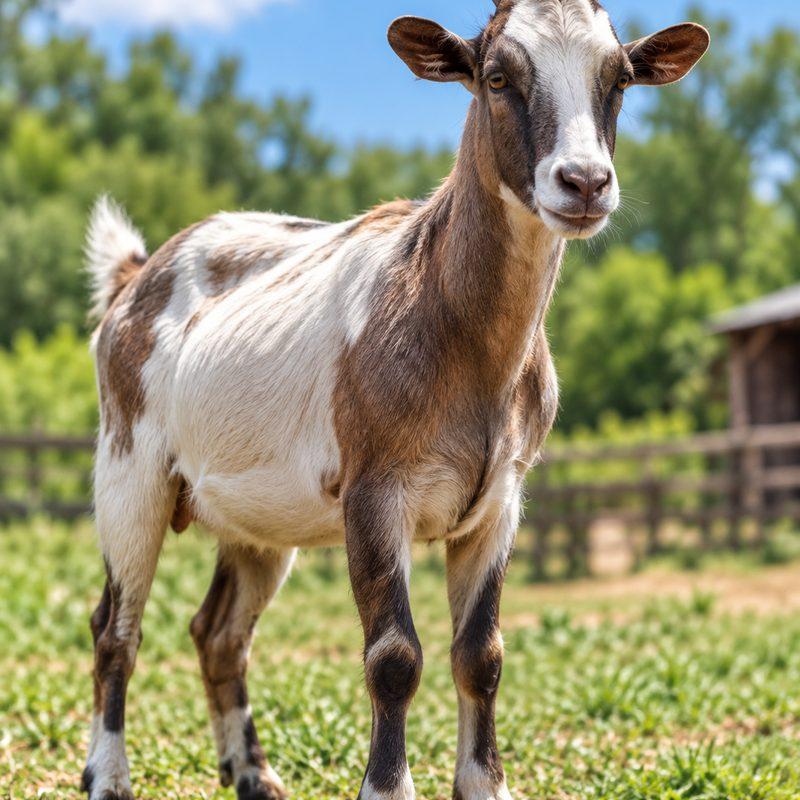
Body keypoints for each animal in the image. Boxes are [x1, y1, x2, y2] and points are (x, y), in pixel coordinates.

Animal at [81, 2, 709, 799]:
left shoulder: (501, 499)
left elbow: (482, 653)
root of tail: (138, 273)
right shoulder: (376, 488)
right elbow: (394, 655)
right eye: (496, 76)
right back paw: (107, 775)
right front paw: (387, 785)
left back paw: (253, 774)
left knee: (218, 632)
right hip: (128, 462)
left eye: (620, 79)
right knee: (116, 627)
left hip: (256, 514)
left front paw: (485, 783)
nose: (585, 181)